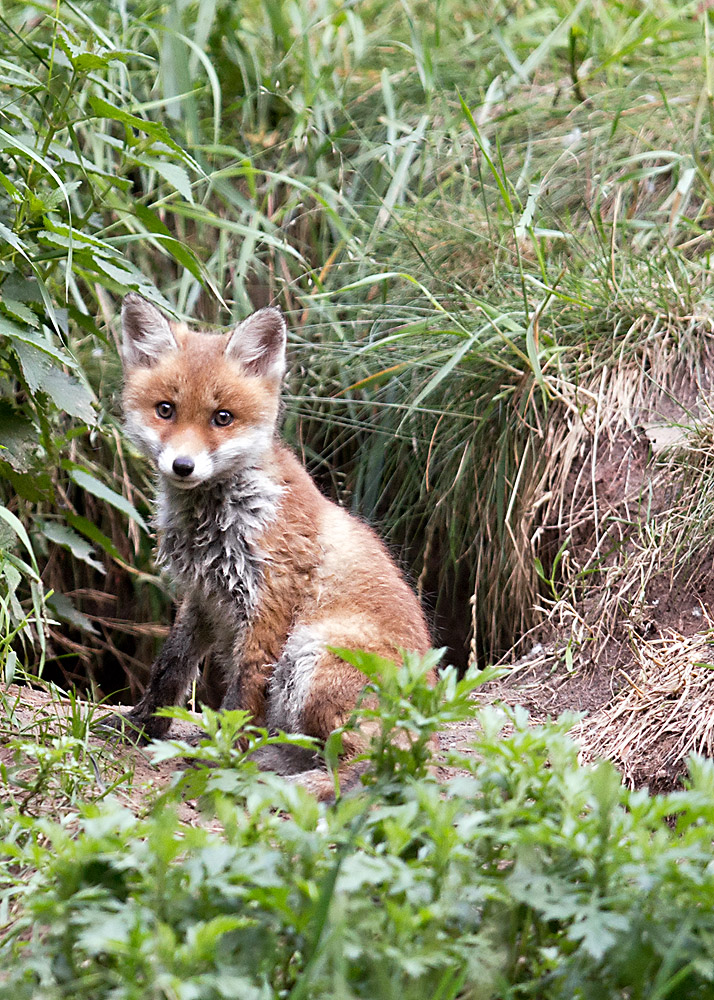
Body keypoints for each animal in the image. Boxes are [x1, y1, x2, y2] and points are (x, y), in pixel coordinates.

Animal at [115, 293, 432, 794]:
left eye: (222, 418)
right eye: (165, 410)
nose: (182, 466)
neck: (221, 519)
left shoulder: (268, 602)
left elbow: (241, 697)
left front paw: (221, 759)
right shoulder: (203, 596)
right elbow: (170, 667)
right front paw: (142, 726)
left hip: (311, 654)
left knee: (366, 761)